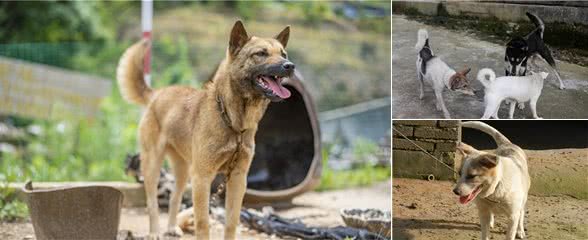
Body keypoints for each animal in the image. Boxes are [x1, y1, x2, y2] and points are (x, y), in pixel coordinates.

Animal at [117, 21, 294, 240]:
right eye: (261, 53)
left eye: (283, 54)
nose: (290, 66)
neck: (232, 122)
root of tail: (157, 94)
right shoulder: (202, 178)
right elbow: (203, 223)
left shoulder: (237, 179)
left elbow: (231, 222)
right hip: (152, 166)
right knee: (152, 203)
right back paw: (154, 232)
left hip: (183, 172)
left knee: (175, 198)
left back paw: (171, 227)